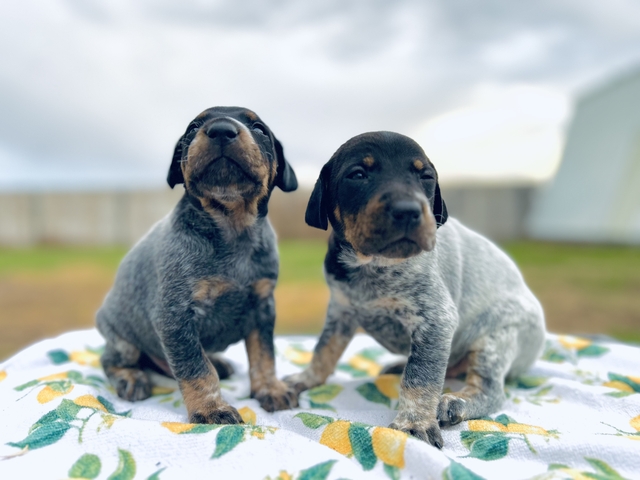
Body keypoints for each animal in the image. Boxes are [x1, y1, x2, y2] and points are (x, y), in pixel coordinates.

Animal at [97, 106, 299, 424]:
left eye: (259, 128)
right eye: (193, 128)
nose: (221, 130)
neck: (232, 229)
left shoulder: (262, 307)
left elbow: (264, 356)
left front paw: (270, 389)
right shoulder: (175, 316)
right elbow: (197, 369)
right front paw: (210, 409)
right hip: (123, 341)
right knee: (110, 359)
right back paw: (131, 377)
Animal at [284, 131, 545, 447]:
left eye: (426, 177)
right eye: (357, 174)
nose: (408, 211)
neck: (372, 266)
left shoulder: (435, 320)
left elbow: (421, 376)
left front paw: (414, 421)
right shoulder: (341, 310)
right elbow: (324, 349)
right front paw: (307, 378)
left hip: (496, 338)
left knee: (491, 390)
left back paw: (456, 401)